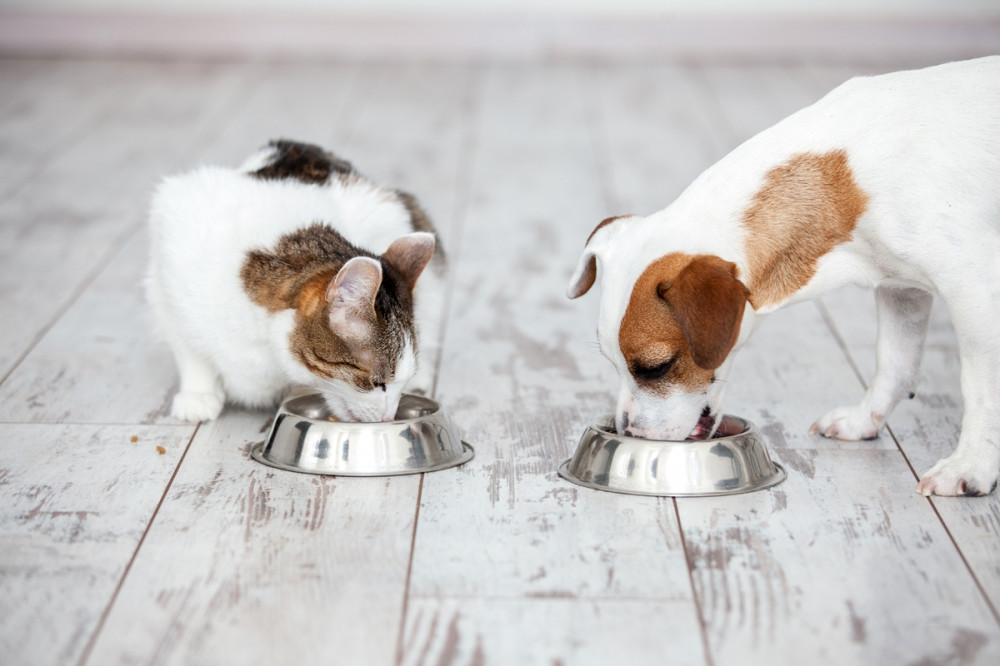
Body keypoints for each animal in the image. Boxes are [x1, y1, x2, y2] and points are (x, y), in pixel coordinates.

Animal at [146, 139, 444, 420]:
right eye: (377, 383)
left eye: (397, 384)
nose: (388, 416)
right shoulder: (167, 261)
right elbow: (187, 347)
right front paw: (198, 392)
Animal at [572, 55, 1000, 492]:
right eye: (612, 362)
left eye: (657, 367)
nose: (629, 432)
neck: (846, 181)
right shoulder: (901, 290)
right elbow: (893, 363)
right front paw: (864, 419)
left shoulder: (975, 292)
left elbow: (979, 389)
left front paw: (971, 466)